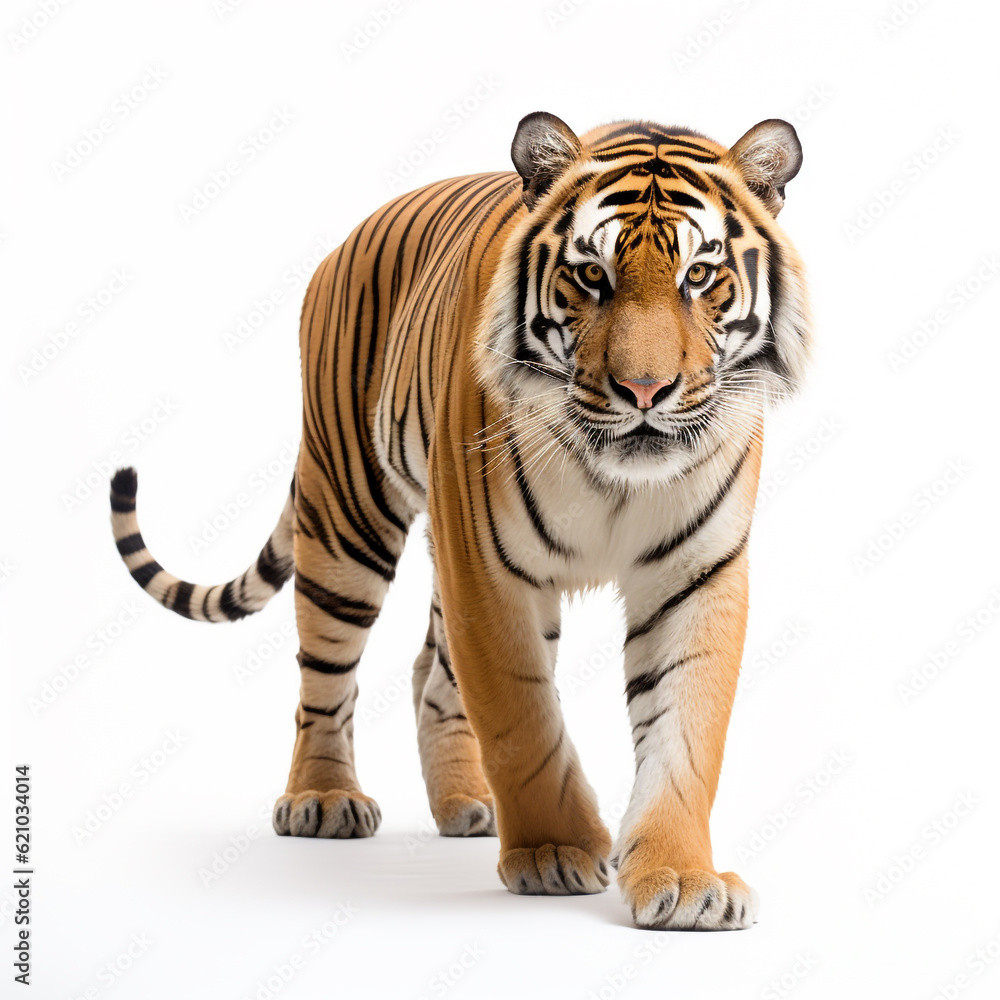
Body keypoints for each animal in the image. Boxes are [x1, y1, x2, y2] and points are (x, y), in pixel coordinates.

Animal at [109, 112, 810, 930]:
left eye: (698, 277)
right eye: (591, 276)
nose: (644, 390)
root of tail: (346, 239)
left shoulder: (696, 574)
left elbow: (686, 733)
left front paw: (683, 878)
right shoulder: (487, 568)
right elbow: (519, 718)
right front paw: (553, 852)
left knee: (430, 674)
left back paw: (466, 804)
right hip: (347, 513)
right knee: (325, 672)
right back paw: (323, 798)